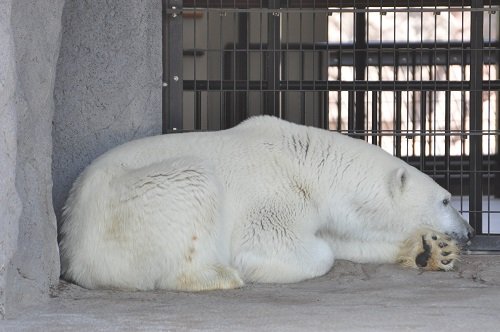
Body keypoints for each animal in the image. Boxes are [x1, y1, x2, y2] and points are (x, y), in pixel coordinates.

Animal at [58, 116, 472, 290]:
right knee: (193, 183)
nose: (468, 231)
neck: (311, 165)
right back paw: (221, 276)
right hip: (138, 203)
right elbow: (280, 245)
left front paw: (431, 250)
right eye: (446, 199)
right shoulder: (274, 195)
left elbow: (344, 238)